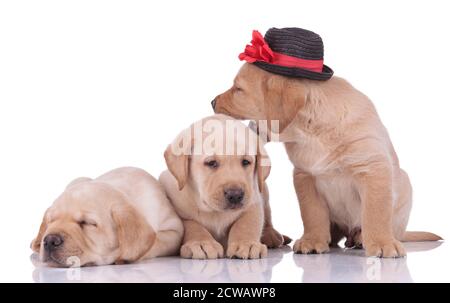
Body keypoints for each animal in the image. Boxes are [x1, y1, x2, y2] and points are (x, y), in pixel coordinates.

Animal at [159, 114, 284, 262]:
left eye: (246, 162)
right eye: (211, 163)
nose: (235, 195)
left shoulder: (253, 200)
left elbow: (247, 223)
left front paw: (246, 243)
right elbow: (191, 225)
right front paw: (201, 242)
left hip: (263, 188)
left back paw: (271, 235)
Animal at [213, 63, 442, 258]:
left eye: (238, 89)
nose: (212, 102)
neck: (311, 130)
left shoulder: (373, 168)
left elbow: (376, 212)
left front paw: (383, 243)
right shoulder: (305, 176)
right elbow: (312, 214)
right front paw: (313, 241)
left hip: (404, 183)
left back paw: (363, 237)